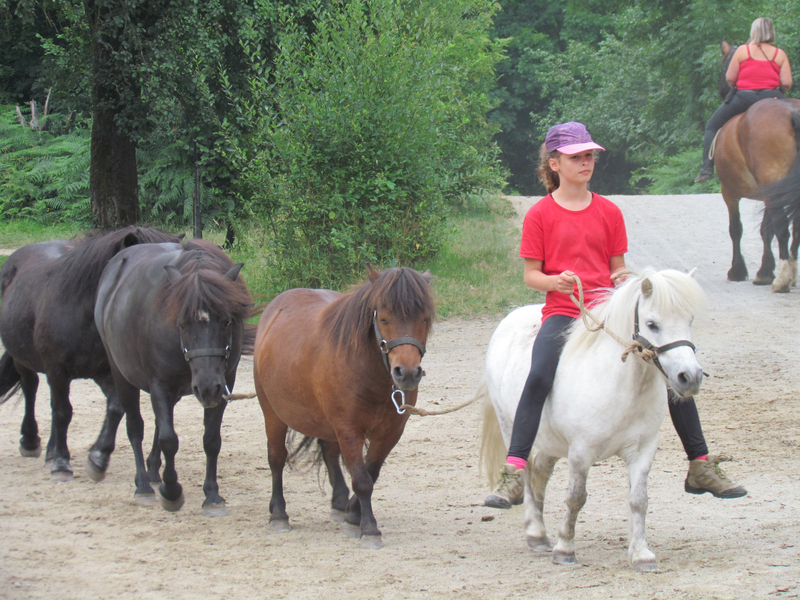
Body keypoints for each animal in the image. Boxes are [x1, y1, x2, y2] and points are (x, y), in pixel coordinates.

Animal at [0, 227, 181, 480]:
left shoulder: (108, 372)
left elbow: (115, 409)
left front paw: (98, 456)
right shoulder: (57, 370)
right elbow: (63, 412)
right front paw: (62, 463)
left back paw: (50, 451)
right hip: (23, 359)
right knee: (31, 388)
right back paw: (31, 441)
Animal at [253, 264, 434, 548]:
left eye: (424, 318)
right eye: (383, 318)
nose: (406, 373)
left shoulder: (390, 432)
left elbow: (371, 473)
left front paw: (352, 515)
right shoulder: (349, 430)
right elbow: (362, 480)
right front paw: (368, 528)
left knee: (328, 453)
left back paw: (338, 504)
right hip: (272, 414)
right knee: (276, 459)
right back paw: (279, 513)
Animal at [478, 268, 704, 572]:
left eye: (689, 320)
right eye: (652, 324)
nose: (689, 377)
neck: (620, 385)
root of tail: (510, 318)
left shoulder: (643, 450)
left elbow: (639, 500)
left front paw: (641, 554)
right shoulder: (581, 452)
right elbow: (576, 498)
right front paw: (565, 548)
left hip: (550, 440)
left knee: (540, 471)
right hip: (510, 426)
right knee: (525, 471)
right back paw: (536, 532)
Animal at [716, 41, 796, 290]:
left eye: (725, 65)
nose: (723, 90)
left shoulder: (729, 191)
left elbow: (736, 229)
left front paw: (738, 270)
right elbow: (765, 230)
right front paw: (765, 270)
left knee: (782, 227)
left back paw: (783, 279)